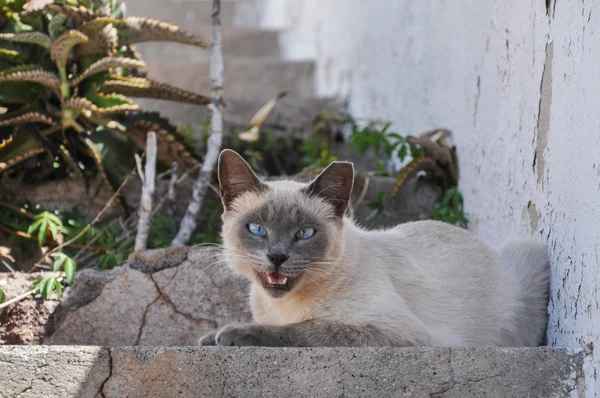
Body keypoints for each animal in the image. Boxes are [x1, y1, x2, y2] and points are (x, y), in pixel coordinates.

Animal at [199, 151, 552, 346]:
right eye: (257, 229)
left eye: (305, 233)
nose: (277, 256)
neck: (283, 306)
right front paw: (209, 338)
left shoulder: (393, 333)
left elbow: (300, 331)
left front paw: (229, 335)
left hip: (528, 251)